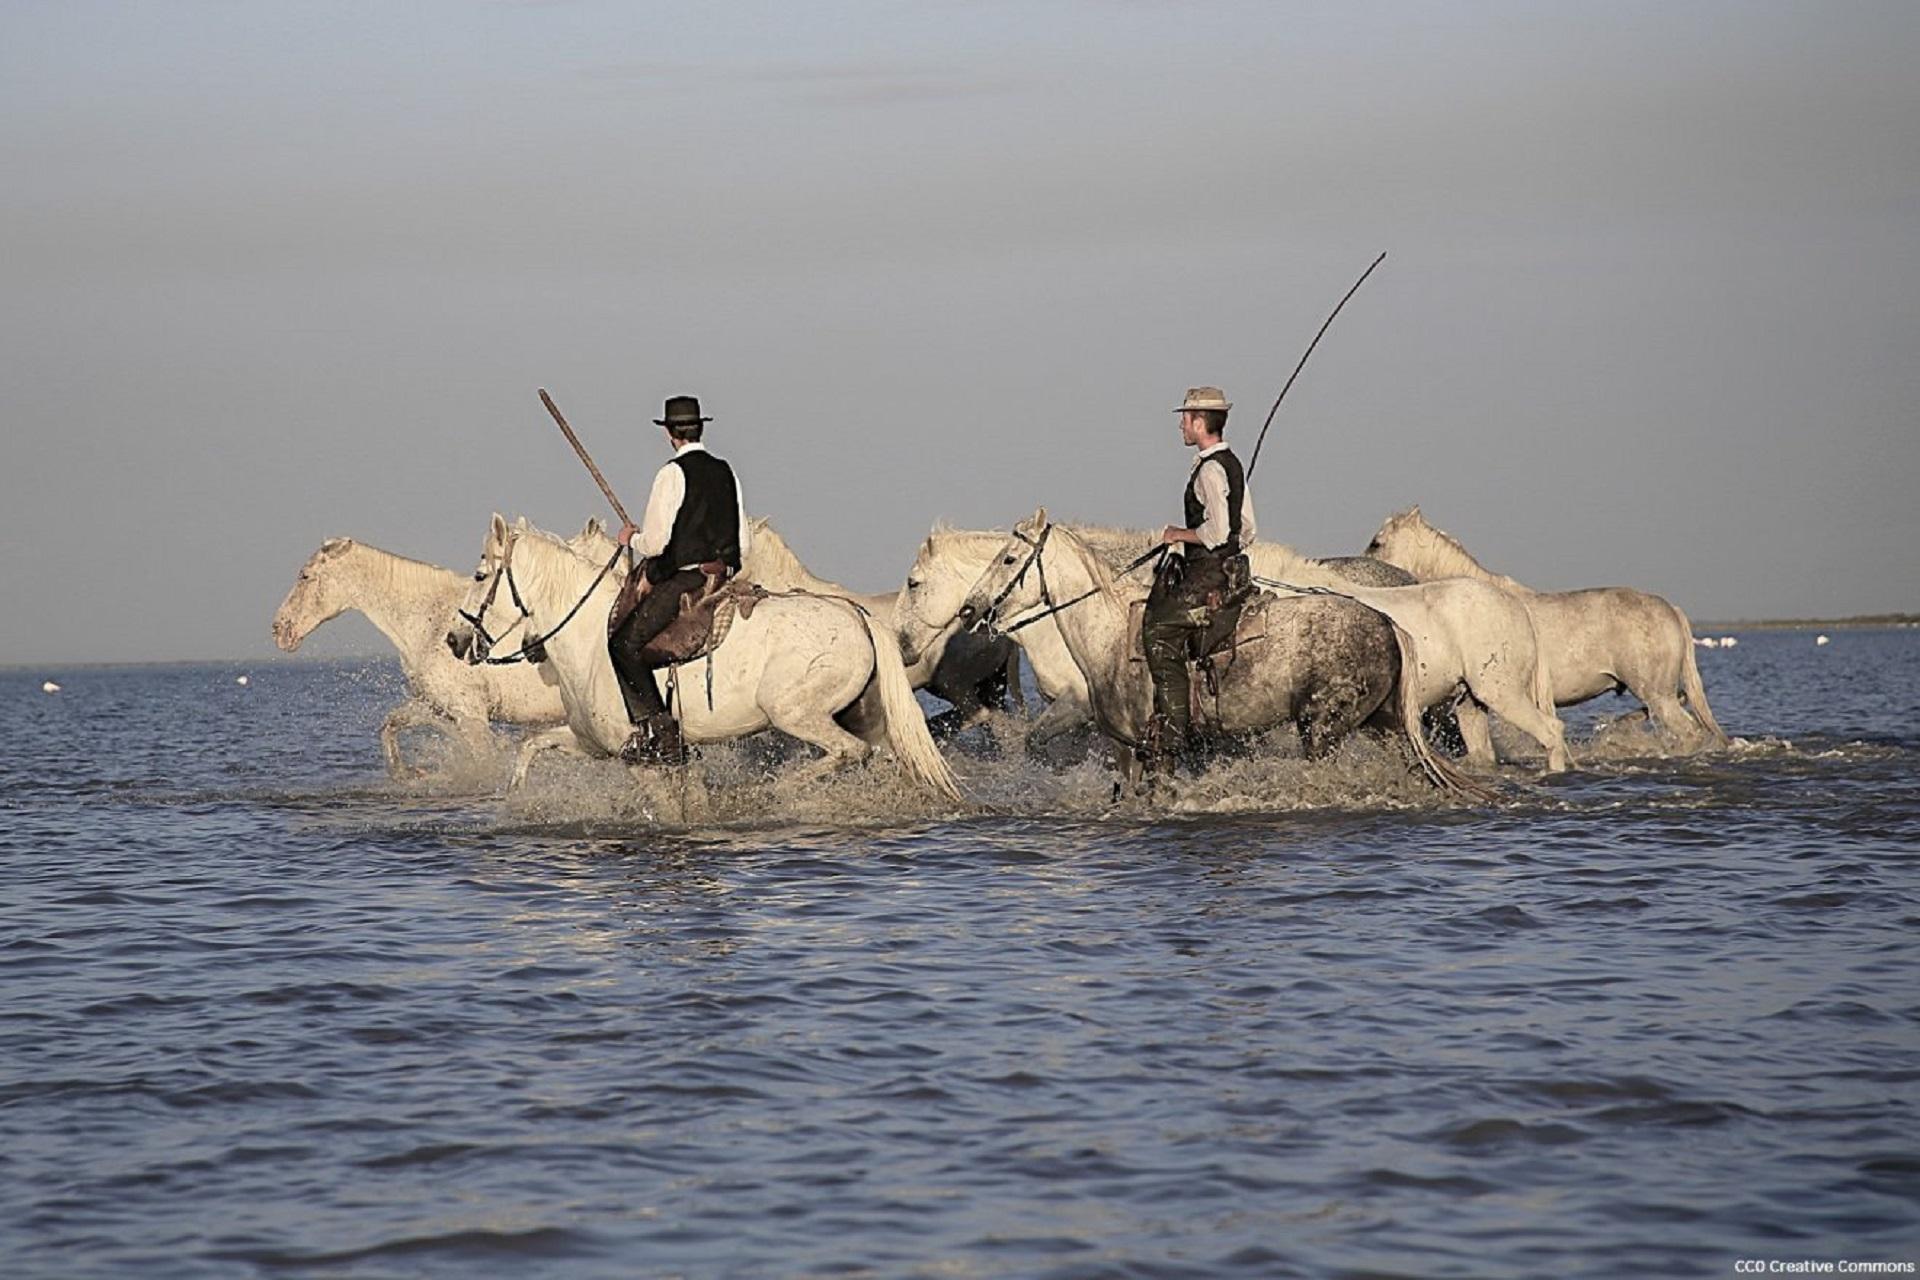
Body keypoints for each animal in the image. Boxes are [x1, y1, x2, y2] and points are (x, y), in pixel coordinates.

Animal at [274, 537, 564, 775]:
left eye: (305, 576)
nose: (279, 629)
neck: (434, 625)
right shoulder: (433, 704)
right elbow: (391, 725)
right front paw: (411, 775)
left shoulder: (470, 715)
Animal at [449, 514, 960, 802]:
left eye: (479, 575)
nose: (454, 640)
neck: (590, 637)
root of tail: (856, 615)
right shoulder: (594, 743)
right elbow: (531, 746)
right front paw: (514, 796)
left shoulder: (640, 759)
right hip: (866, 715)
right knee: (888, 756)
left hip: (797, 714)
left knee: (848, 752)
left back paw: (770, 792)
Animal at [906, 518, 1566, 771]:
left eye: (912, 583)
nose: (970, 612)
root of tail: (1510, 604)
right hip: (1461, 704)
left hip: (1494, 693)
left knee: (1549, 734)